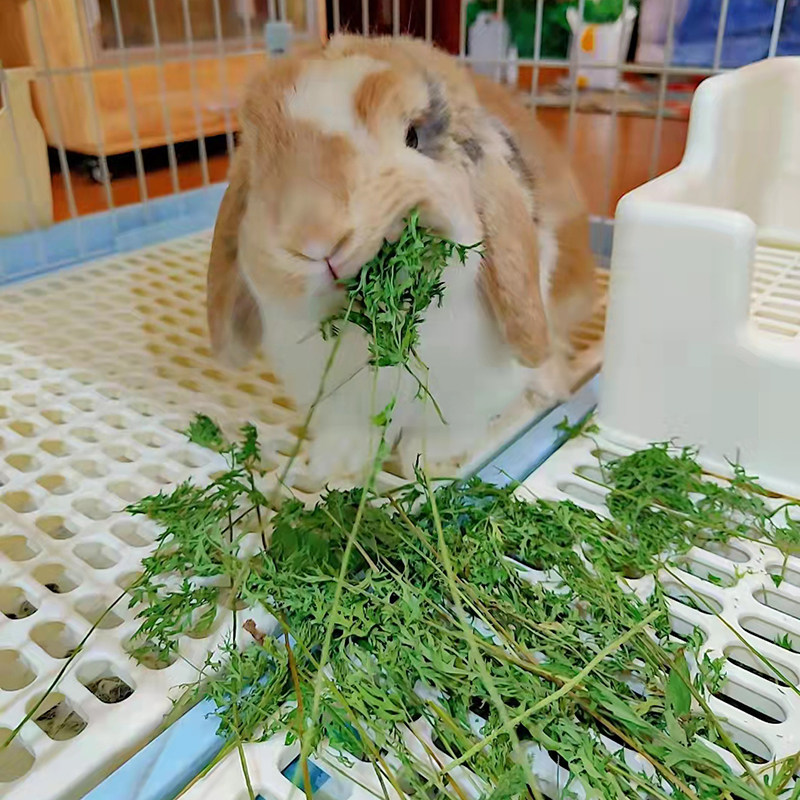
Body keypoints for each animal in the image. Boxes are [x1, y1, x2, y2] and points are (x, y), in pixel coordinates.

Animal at [207, 35, 596, 483]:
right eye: (257, 160)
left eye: (413, 136)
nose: (314, 236)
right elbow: (352, 431)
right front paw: (333, 465)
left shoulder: (468, 400)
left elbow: (449, 430)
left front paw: (429, 461)